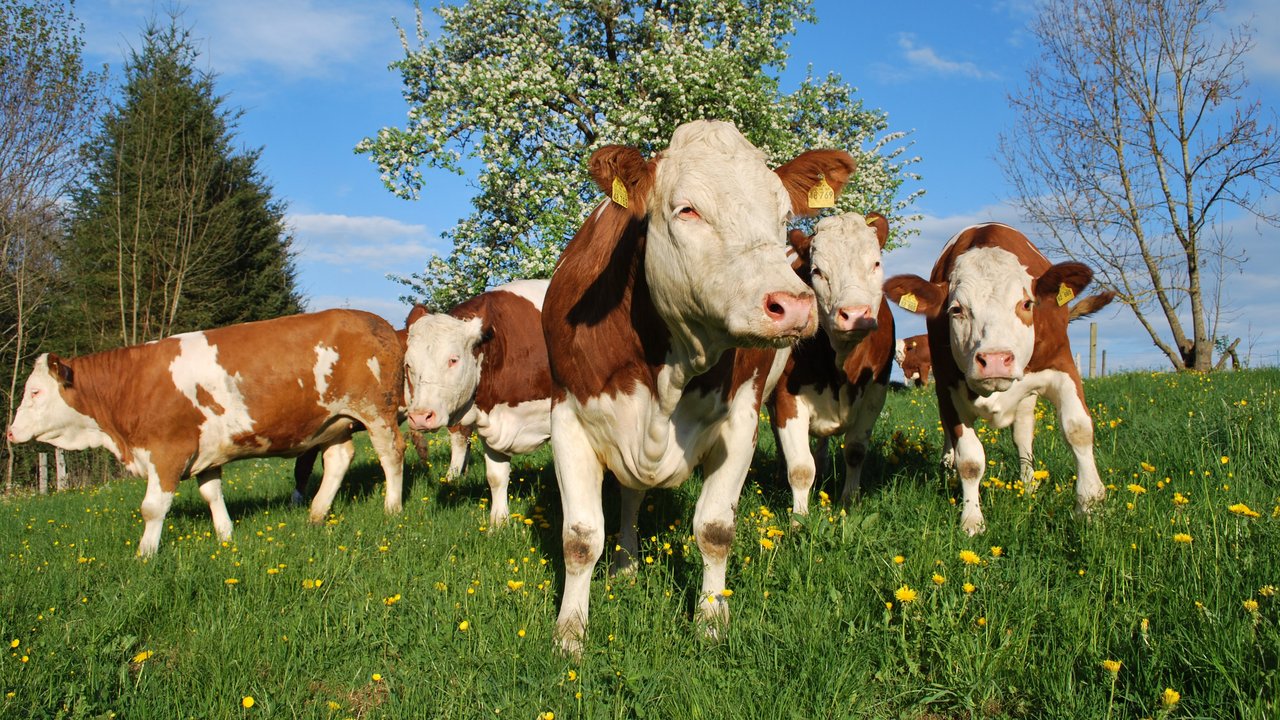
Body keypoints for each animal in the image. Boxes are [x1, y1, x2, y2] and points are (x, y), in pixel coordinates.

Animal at [6, 309, 406, 556]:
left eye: (35, 392)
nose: (10, 432)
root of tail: (377, 322)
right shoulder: (205, 453)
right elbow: (212, 494)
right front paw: (226, 535)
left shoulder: (168, 450)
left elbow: (152, 508)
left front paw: (145, 554)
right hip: (332, 421)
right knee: (338, 460)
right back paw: (316, 514)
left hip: (377, 411)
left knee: (391, 455)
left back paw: (392, 507)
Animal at [402, 279, 552, 527]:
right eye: (408, 365)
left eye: (453, 360)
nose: (421, 417)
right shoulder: (490, 422)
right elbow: (496, 476)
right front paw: (498, 522)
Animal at [542, 119, 855, 654]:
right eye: (687, 209)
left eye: (782, 214)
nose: (792, 304)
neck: (669, 372)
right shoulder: (568, 417)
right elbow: (581, 538)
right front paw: (570, 635)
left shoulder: (741, 422)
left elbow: (715, 530)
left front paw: (710, 622)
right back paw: (625, 570)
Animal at [768, 212, 895, 514]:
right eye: (817, 272)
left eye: (876, 263)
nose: (855, 314)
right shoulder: (786, 397)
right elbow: (800, 468)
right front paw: (799, 519)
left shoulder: (876, 392)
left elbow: (856, 451)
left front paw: (850, 502)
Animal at [882, 222, 1106, 535]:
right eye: (956, 309)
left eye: (1026, 304)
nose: (996, 359)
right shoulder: (947, 386)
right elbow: (970, 460)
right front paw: (972, 520)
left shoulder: (1062, 366)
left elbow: (1078, 430)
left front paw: (1090, 507)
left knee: (1023, 433)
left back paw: (1028, 482)